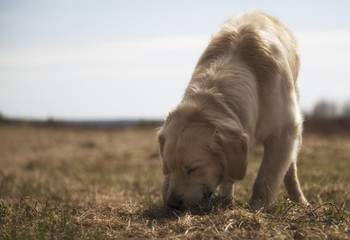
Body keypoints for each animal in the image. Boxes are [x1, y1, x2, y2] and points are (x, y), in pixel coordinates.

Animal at [156, 11, 306, 210]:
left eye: (193, 169)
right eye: (169, 166)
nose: (172, 204)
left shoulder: (283, 132)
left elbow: (265, 177)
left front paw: (256, 208)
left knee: (290, 168)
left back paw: (300, 200)